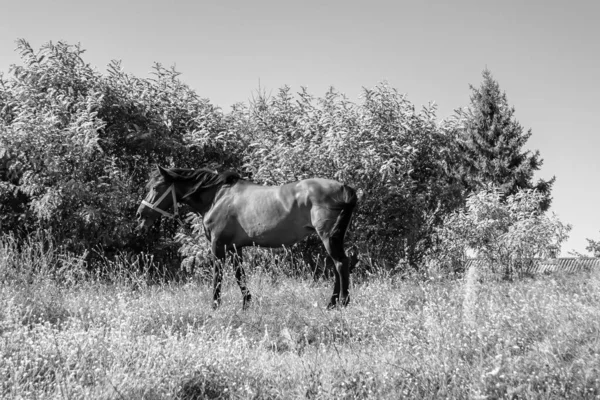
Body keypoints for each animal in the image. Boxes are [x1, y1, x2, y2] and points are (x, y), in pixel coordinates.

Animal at [138, 166, 358, 310]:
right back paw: (333, 303)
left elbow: (218, 276)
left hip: (329, 237)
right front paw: (246, 304)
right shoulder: (236, 247)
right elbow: (240, 276)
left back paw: (341, 302)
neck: (218, 197)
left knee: (340, 264)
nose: (140, 215)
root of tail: (343, 187)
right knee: (337, 265)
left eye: (156, 187)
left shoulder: (218, 246)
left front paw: (215, 305)